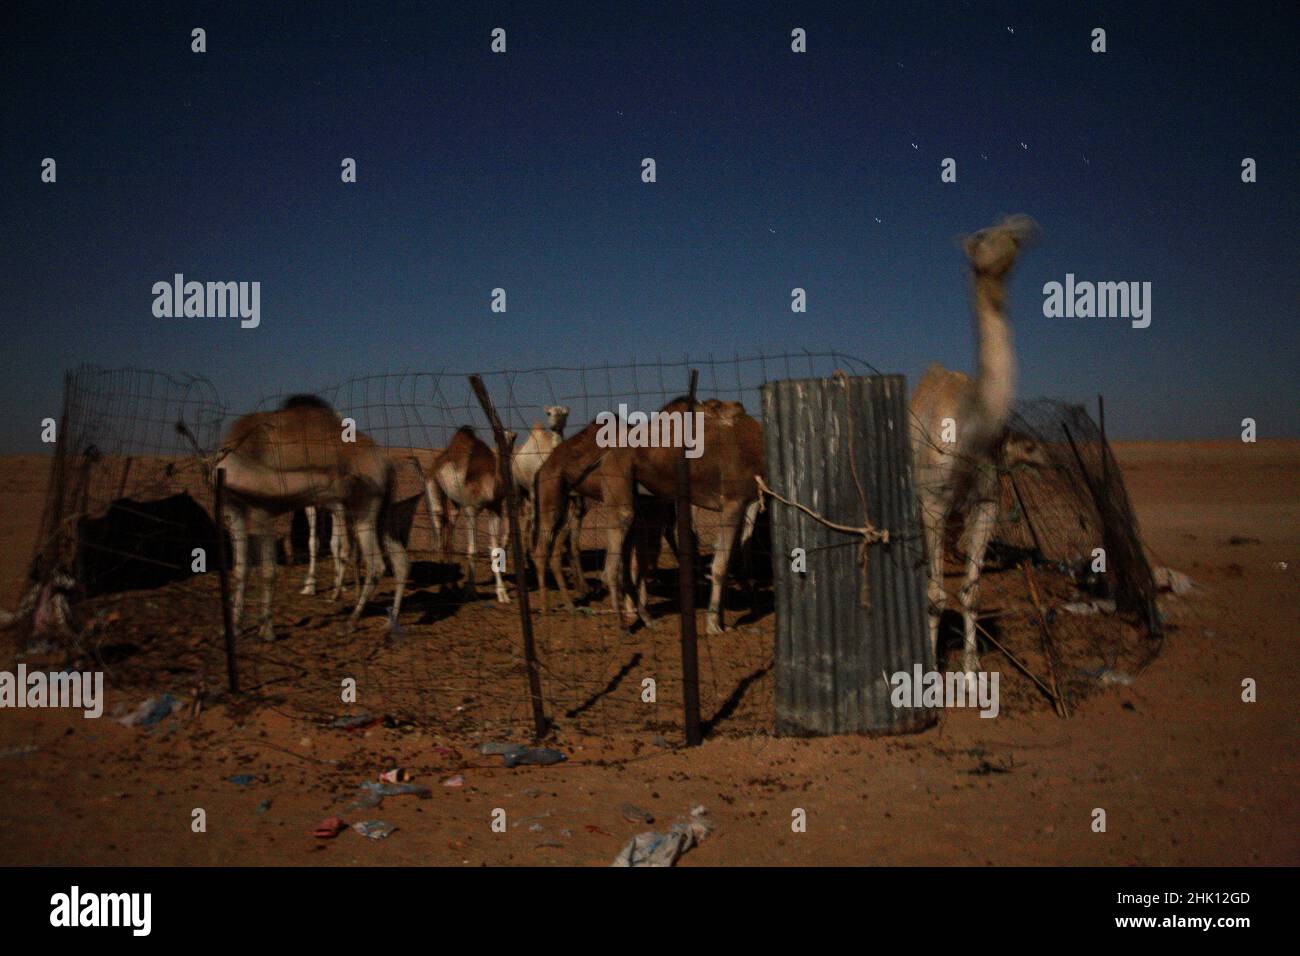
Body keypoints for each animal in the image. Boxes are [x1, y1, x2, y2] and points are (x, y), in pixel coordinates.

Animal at [218, 395, 408, 642]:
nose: (349, 479)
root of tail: (387, 465)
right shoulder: (235, 510)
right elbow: (241, 568)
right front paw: (234, 626)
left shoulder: (264, 512)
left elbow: (268, 570)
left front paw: (266, 630)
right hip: (379, 512)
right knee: (400, 561)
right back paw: (388, 622)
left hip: (365, 511)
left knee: (376, 564)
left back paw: (350, 622)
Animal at [909, 210, 1040, 671]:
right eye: (983, 236)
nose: (1022, 229)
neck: (971, 427)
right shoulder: (932, 501)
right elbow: (935, 593)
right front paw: (929, 672)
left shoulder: (986, 503)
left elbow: (972, 592)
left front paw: (970, 670)